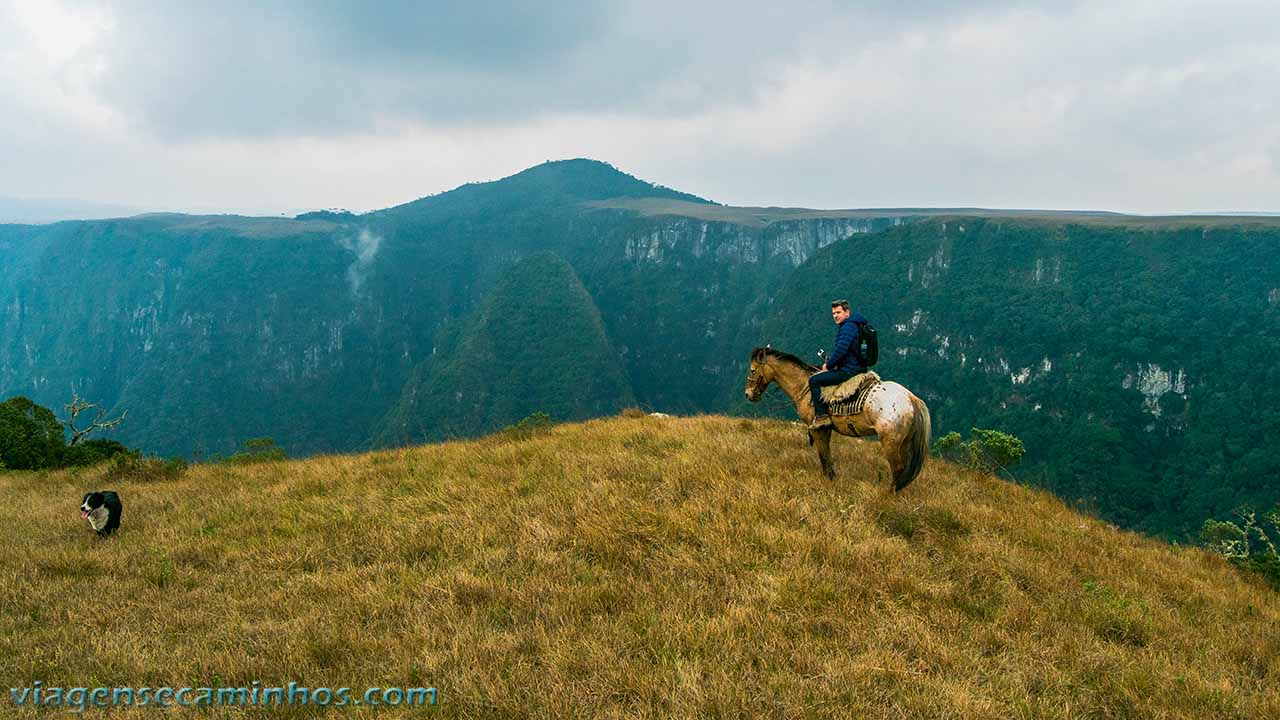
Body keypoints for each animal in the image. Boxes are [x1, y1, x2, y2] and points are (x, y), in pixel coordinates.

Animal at [742, 345, 931, 489]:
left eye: (752, 369)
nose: (748, 394)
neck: (804, 385)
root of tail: (911, 398)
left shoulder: (817, 428)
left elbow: (824, 456)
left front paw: (828, 479)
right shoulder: (826, 429)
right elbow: (827, 455)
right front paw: (832, 478)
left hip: (890, 441)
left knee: (898, 468)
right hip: (904, 442)